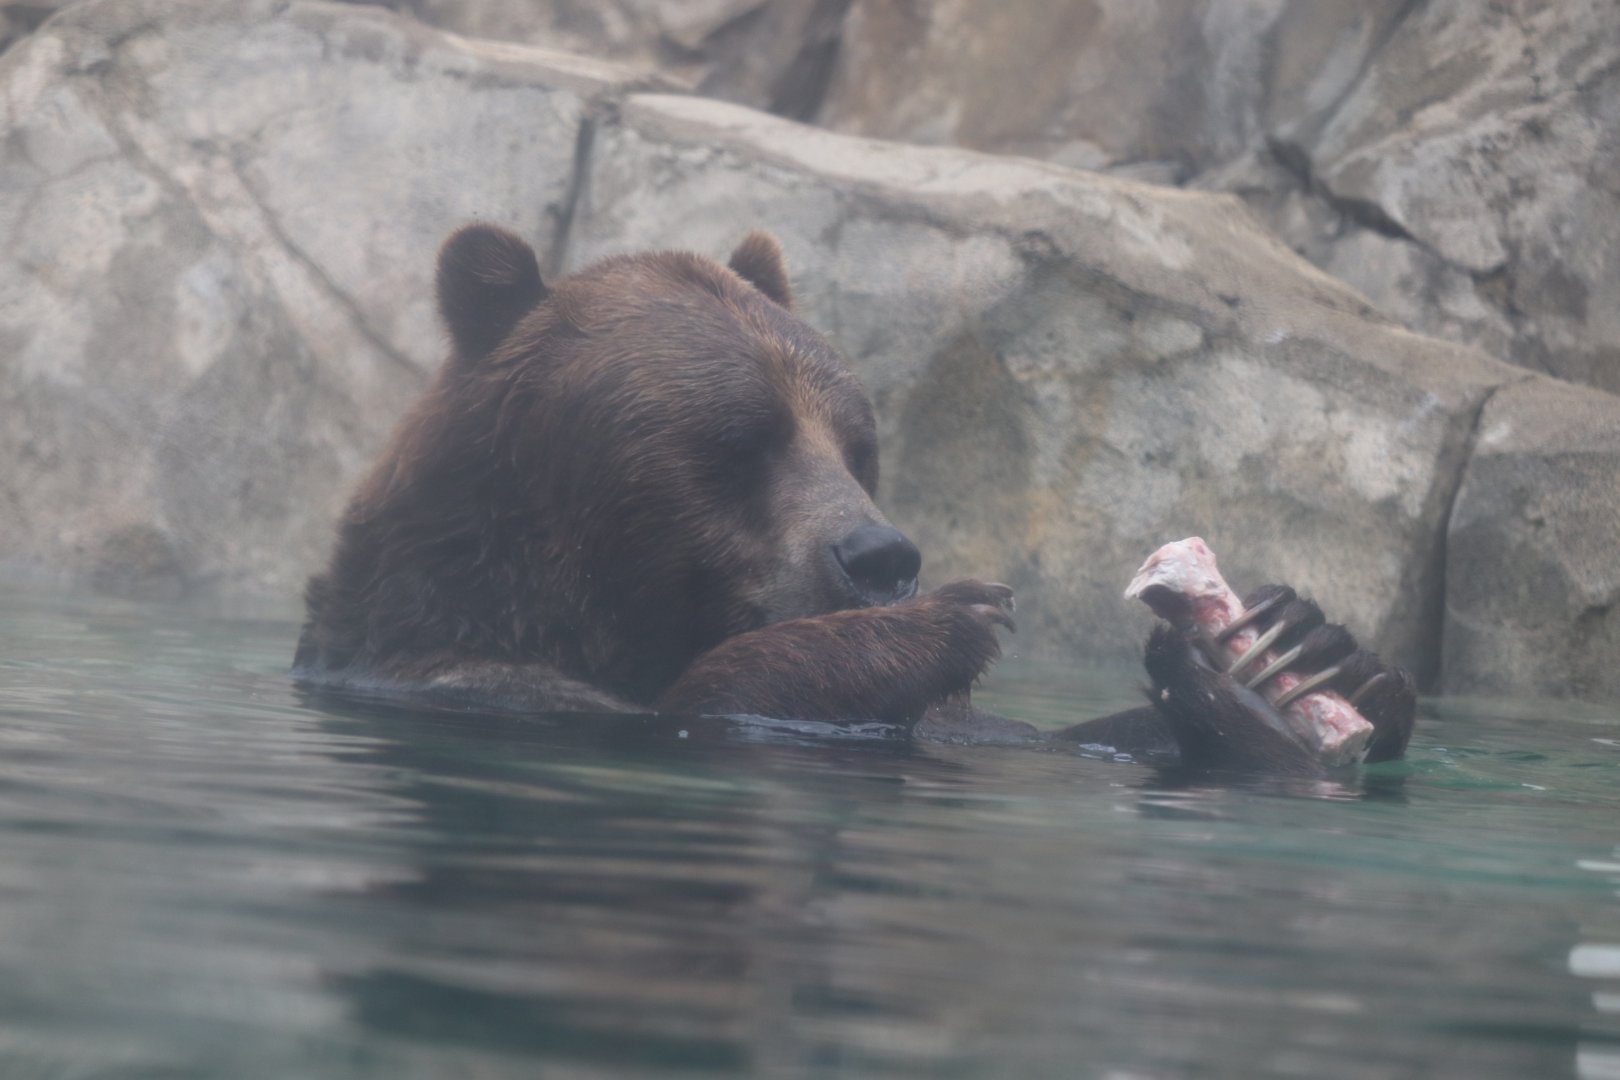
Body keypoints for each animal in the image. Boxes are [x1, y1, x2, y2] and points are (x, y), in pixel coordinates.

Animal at [294, 224, 1415, 775]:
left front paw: (1303, 650)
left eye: (856, 443)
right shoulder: (478, 677)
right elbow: (708, 699)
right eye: (738, 441)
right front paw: (951, 618)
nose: (883, 557)